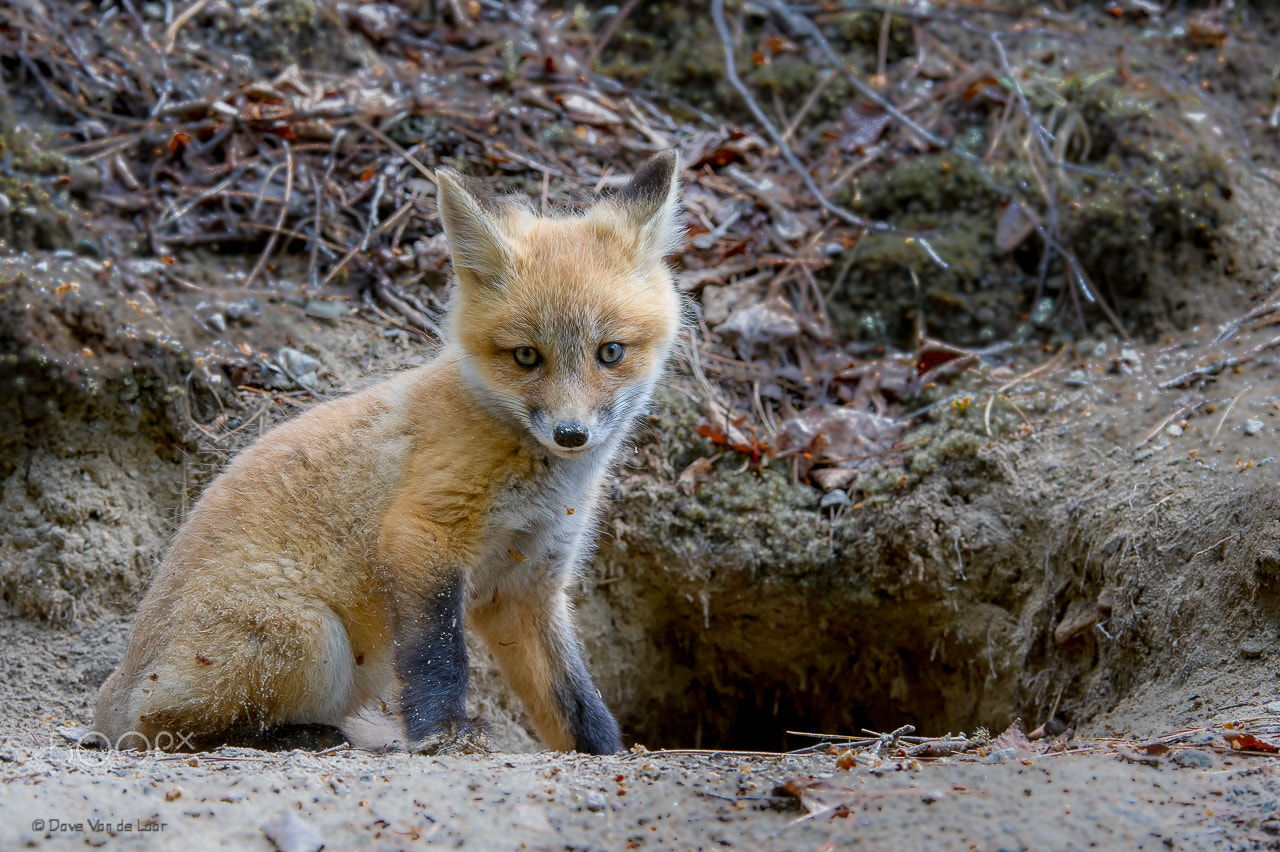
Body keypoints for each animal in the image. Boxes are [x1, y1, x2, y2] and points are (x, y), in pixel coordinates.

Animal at [93, 151, 685, 755]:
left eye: (609, 352)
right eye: (526, 356)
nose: (571, 434)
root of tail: (112, 694)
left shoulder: (527, 582)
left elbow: (572, 698)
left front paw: (606, 749)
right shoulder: (422, 532)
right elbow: (438, 655)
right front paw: (440, 733)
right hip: (313, 640)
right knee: (167, 729)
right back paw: (299, 735)